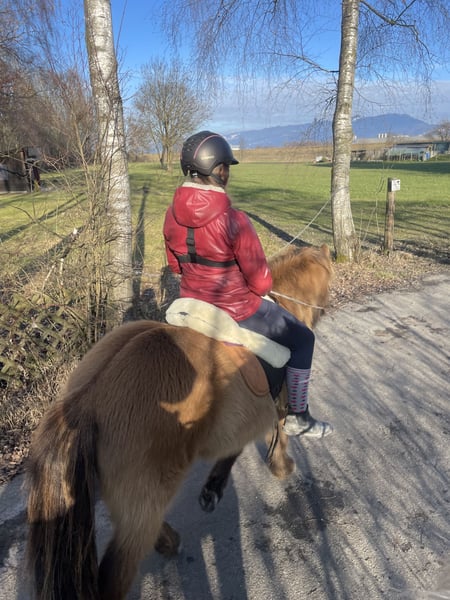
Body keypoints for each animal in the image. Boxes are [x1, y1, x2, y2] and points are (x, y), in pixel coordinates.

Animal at [25, 243, 333, 600]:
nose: (324, 308)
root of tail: (88, 399)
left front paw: (213, 488)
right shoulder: (276, 405)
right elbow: (278, 434)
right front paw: (282, 465)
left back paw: (170, 540)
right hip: (146, 494)